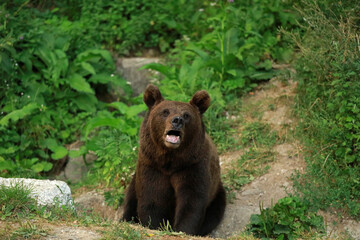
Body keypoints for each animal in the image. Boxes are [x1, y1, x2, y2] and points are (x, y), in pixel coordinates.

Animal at [123, 85, 225, 236]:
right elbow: (152, 198)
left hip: (217, 193)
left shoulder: (193, 166)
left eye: (186, 115)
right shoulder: (152, 166)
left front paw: (182, 229)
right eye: (165, 112)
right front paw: (154, 225)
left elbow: (192, 201)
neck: (170, 160)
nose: (177, 120)